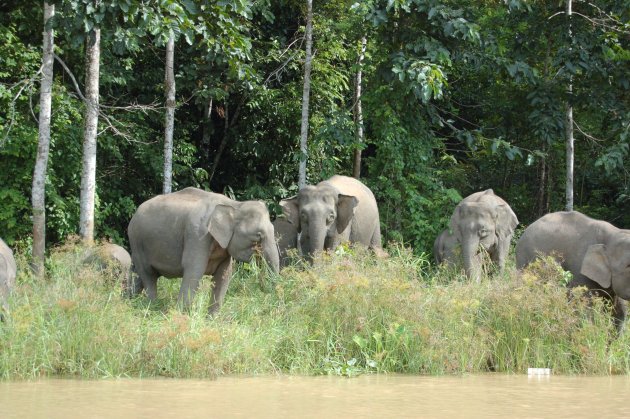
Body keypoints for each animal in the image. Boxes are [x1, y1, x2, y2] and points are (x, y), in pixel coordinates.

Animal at [127, 188, 280, 316]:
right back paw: (151, 308)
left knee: (139, 276)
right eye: (258, 235)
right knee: (148, 275)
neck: (234, 205)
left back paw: (128, 302)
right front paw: (180, 316)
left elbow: (224, 275)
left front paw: (212, 319)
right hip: (137, 242)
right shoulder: (197, 235)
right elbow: (194, 270)